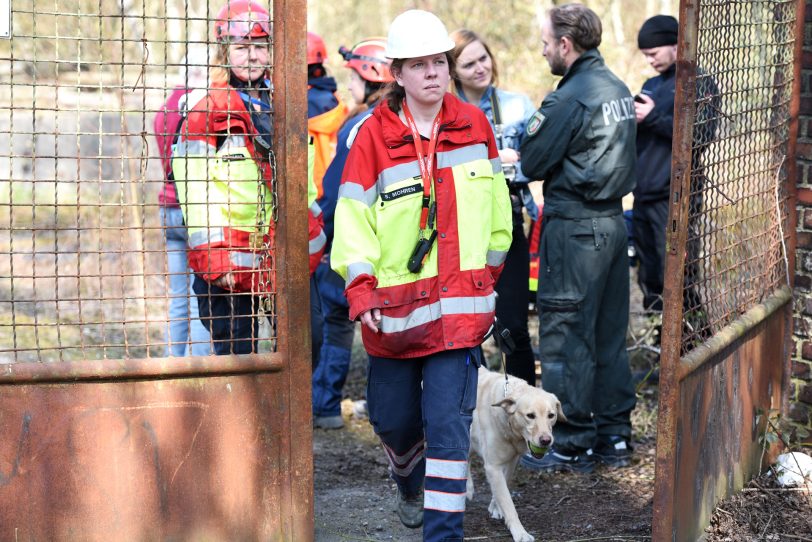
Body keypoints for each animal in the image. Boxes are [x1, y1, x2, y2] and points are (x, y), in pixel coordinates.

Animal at [470, 366, 564, 542]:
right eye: (530, 416)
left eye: (551, 415)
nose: (546, 441)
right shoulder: (493, 466)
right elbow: (508, 503)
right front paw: (520, 533)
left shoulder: (512, 461)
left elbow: (503, 488)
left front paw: (495, 507)